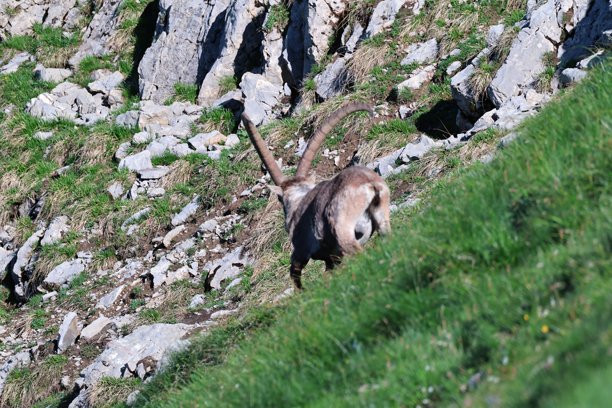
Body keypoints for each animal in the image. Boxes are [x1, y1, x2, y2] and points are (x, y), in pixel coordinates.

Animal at [241, 102, 390, 288]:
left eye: (279, 198)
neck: (298, 200)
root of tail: (369, 184)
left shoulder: (302, 249)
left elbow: (295, 272)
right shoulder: (332, 258)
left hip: (343, 231)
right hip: (382, 217)